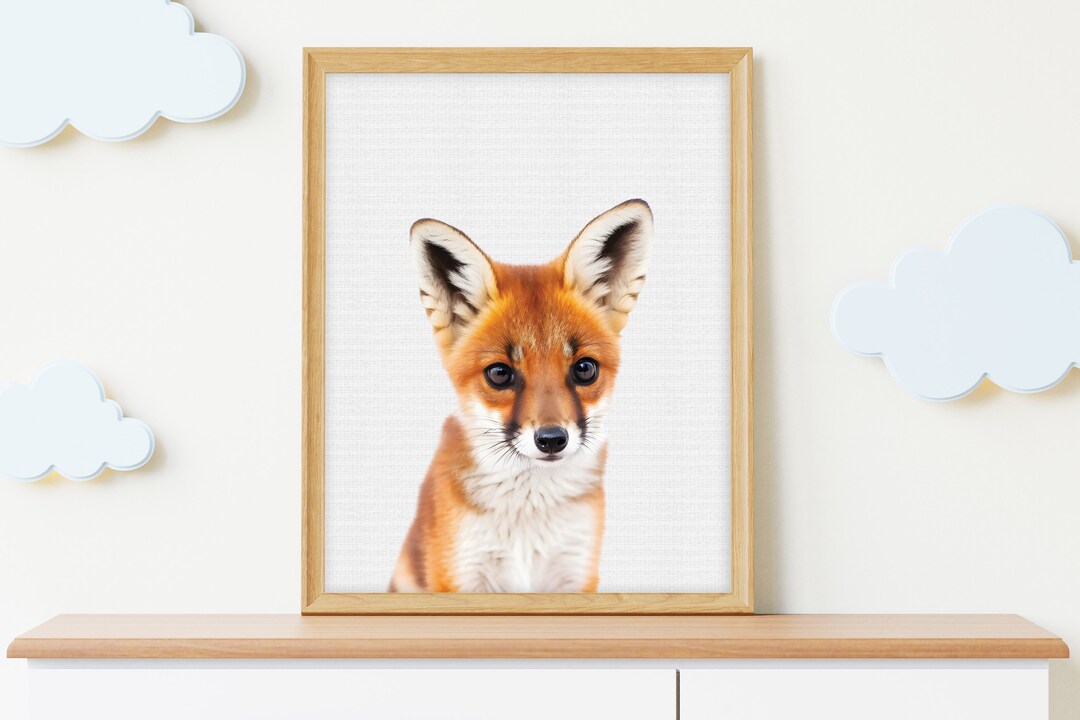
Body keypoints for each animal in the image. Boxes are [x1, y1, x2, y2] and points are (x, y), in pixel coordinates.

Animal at [390, 199, 653, 593]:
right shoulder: (461, 574)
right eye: (499, 374)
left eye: (585, 369)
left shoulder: (576, 572)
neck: (527, 523)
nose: (552, 439)